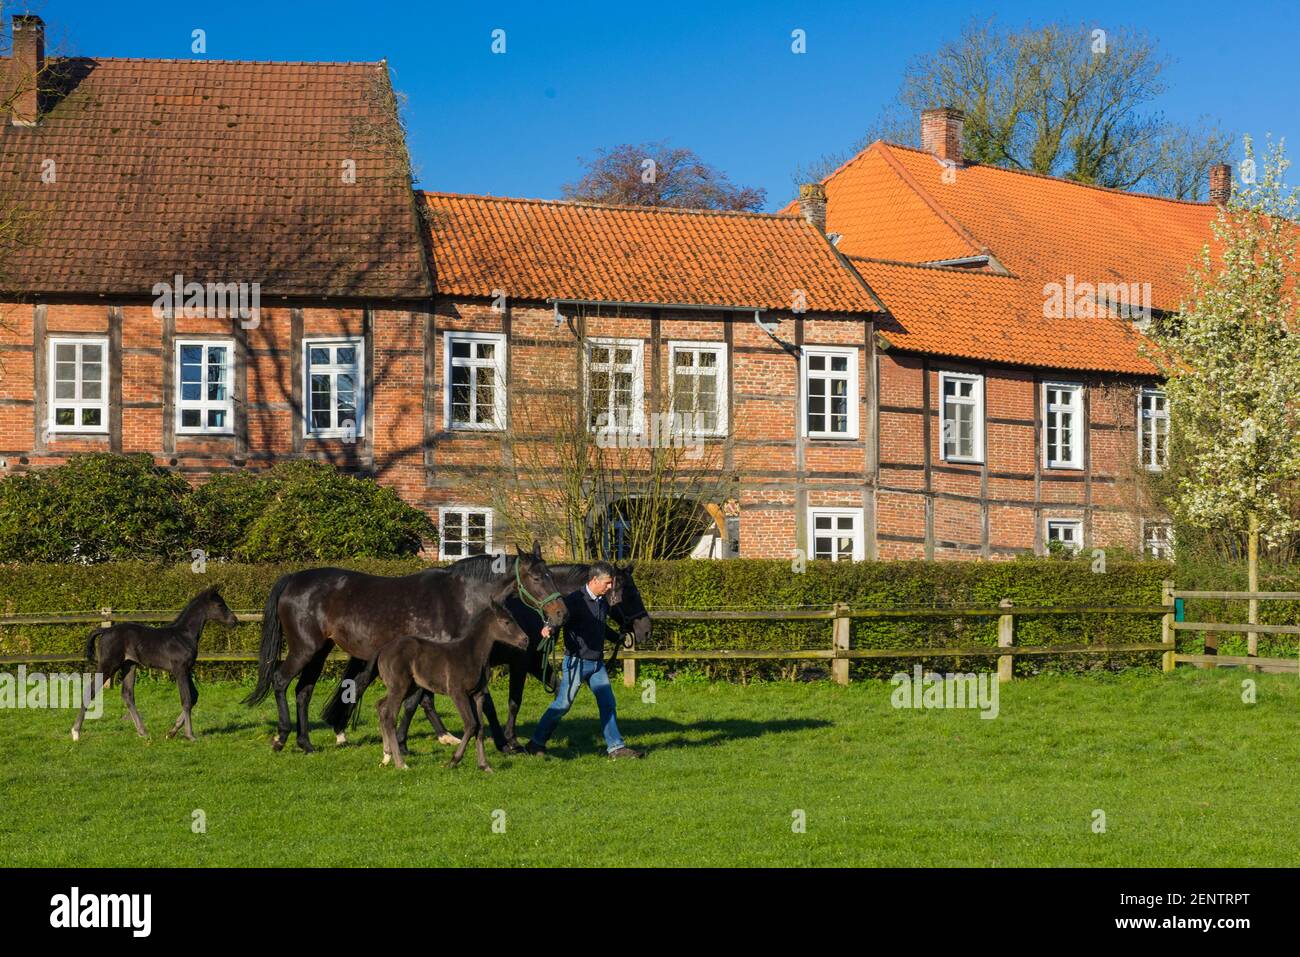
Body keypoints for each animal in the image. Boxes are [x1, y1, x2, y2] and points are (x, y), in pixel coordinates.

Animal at [71, 587, 241, 743]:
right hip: (108, 665)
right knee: (90, 691)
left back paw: (143, 732)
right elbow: (186, 700)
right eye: (220, 604)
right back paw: (76, 732)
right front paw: (190, 735)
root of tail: (105, 631)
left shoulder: (187, 670)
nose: (234, 621)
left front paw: (171, 732)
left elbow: (194, 697)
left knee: (127, 695)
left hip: (129, 665)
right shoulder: (180, 670)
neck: (184, 636)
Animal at [245, 540, 566, 748]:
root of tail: (292, 579)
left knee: (303, 691)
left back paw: (306, 743)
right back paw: (282, 736)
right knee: (280, 681)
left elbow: (420, 702)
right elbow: (415, 702)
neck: (458, 598)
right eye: (537, 577)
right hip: (304, 649)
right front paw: (401, 742)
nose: (561, 613)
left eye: (551, 575)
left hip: (320, 651)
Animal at [319, 561, 650, 754]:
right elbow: (512, 701)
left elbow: (557, 691)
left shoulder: (531, 661)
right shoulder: (519, 662)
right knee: (378, 691)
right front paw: (510, 740)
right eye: (630, 591)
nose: (644, 628)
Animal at [371, 600, 527, 774]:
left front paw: (484, 765)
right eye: (506, 622)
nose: (525, 640)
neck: (471, 654)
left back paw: (386, 757)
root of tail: (382, 651)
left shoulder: (477, 695)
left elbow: (479, 728)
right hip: (400, 687)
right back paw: (401, 763)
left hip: (409, 687)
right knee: (389, 716)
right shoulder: (457, 693)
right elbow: (471, 725)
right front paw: (452, 761)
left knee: (381, 706)